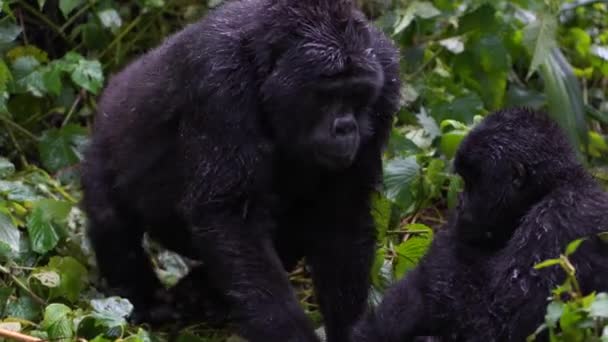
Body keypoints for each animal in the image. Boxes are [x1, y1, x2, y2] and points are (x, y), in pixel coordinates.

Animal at [82, 0, 404, 342]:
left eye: (357, 95)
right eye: (327, 95)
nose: (346, 128)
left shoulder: (386, 77)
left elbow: (341, 218)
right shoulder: (219, 80)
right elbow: (232, 218)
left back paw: (202, 294)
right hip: (103, 138)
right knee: (110, 218)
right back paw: (146, 299)